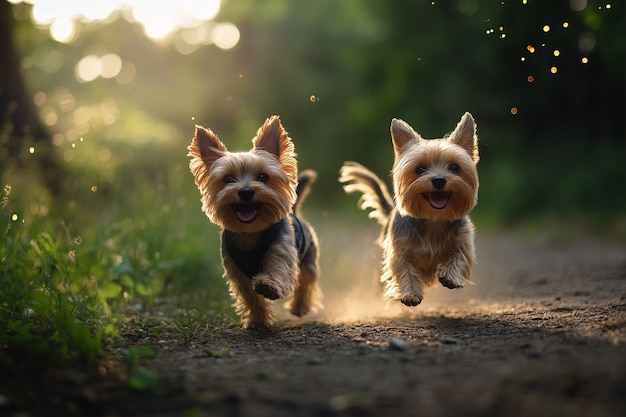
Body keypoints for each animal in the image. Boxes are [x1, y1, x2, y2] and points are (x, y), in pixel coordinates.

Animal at [188, 115, 320, 326]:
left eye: (263, 177)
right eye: (228, 179)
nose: (246, 191)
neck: (251, 231)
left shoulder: (282, 249)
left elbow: (278, 268)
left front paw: (268, 285)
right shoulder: (236, 270)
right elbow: (250, 296)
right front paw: (258, 320)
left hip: (309, 257)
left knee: (307, 280)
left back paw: (300, 307)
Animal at [336, 112, 478, 304]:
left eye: (455, 167)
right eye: (420, 169)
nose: (439, 180)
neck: (434, 219)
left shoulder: (462, 239)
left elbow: (461, 256)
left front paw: (451, 277)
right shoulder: (400, 248)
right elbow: (403, 268)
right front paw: (410, 294)